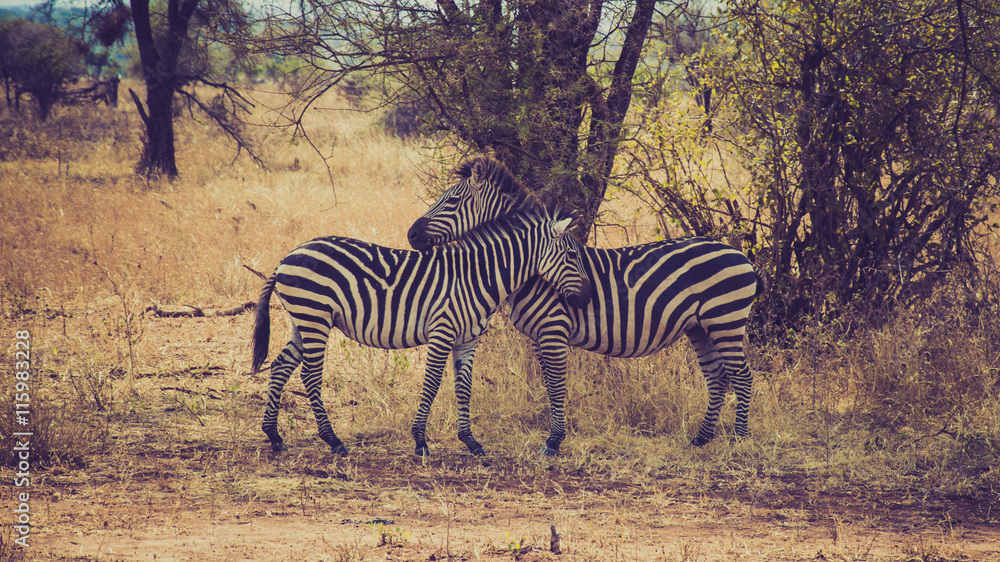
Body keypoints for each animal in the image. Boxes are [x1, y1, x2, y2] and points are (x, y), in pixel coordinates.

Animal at [251, 205, 591, 457]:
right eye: (573, 256)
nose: (585, 298)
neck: (478, 278)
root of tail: (287, 256)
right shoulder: (442, 332)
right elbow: (432, 383)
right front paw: (420, 441)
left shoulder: (467, 341)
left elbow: (464, 387)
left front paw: (471, 442)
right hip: (315, 317)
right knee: (309, 375)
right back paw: (333, 441)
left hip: (303, 321)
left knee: (280, 365)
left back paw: (274, 436)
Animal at [408, 156, 758, 454]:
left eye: (451, 201)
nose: (411, 235)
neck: (535, 270)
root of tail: (740, 254)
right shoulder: (539, 336)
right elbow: (550, 385)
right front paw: (554, 437)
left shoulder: (553, 329)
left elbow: (557, 385)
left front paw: (553, 442)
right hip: (700, 327)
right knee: (717, 377)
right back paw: (701, 439)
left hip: (724, 321)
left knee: (741, 375)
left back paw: (739, 441)